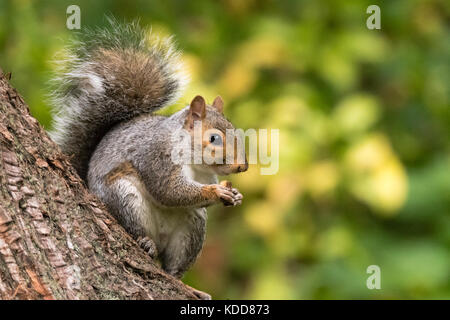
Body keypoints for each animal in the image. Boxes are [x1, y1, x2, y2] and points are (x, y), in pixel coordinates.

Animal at [50, 18, 248, 298]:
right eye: (213, 138)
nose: (243, 166)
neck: (192, 160)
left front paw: (236, 195)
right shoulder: (156, 157)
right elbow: (169, 191)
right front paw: (216, 192)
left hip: (192, 228)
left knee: (173, 268)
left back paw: (188, 286)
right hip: (124, 197)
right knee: (135, 228)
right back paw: (145, 242)